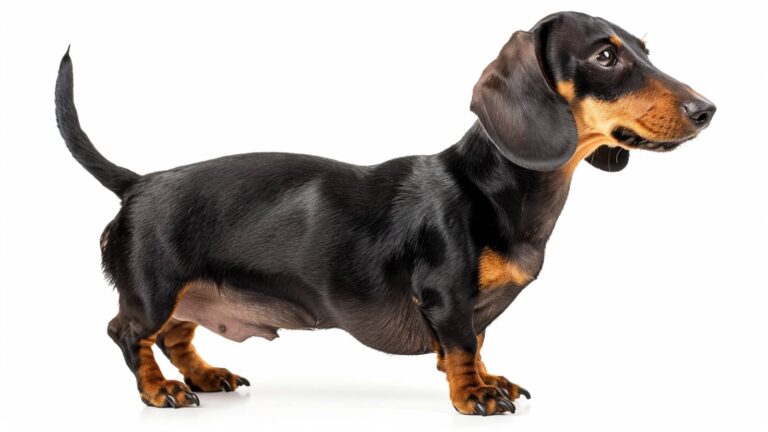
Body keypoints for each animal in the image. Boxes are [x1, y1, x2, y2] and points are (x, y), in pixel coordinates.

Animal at [55, 11, 712, 416]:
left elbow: (477, 343)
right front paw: (474, 396)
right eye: (605, 56)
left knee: (175, 334)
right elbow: (461, 347)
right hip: (153, 287)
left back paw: (203, 376)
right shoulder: (444, 295)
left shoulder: (475, 309)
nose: (707, 109)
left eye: (645, 51)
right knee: (128, 332)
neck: (497, 187)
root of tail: (139, 183)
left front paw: (490, 379)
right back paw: (158, 390)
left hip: (187, 291)